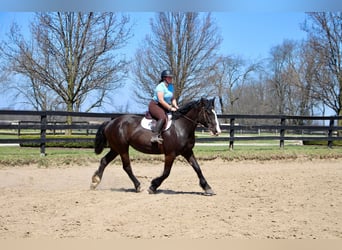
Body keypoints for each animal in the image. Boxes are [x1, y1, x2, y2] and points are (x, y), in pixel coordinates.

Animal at [89, 97, 220, 195]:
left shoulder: (187, 152)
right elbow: (166, 172)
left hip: (116, 148)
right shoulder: (170, 154)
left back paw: (95, 182)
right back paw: (138, 186)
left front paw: (207, 187)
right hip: (122, 148)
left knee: (104, 160)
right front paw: (153, 186)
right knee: (126, 167)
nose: (217, 131)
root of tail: (111, 122)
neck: (181, 127)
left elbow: (197, 168)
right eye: (208, 112)